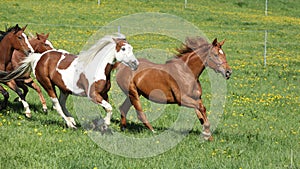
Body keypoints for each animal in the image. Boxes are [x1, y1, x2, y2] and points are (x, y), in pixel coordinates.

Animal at [2, 34, 139, 129]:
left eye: (131, 48)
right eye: (123, 49)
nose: (135, 64)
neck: (98, 67)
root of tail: (40, 57)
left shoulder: (103, 94)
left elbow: (107, 108)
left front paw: (103, 124)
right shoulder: (93, 95)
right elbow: (109, 108)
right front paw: (105, 124)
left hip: (64, 89)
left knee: (62, 104)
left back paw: (72, 120)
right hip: (48, 85)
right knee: (56, 105)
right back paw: (70, 124)